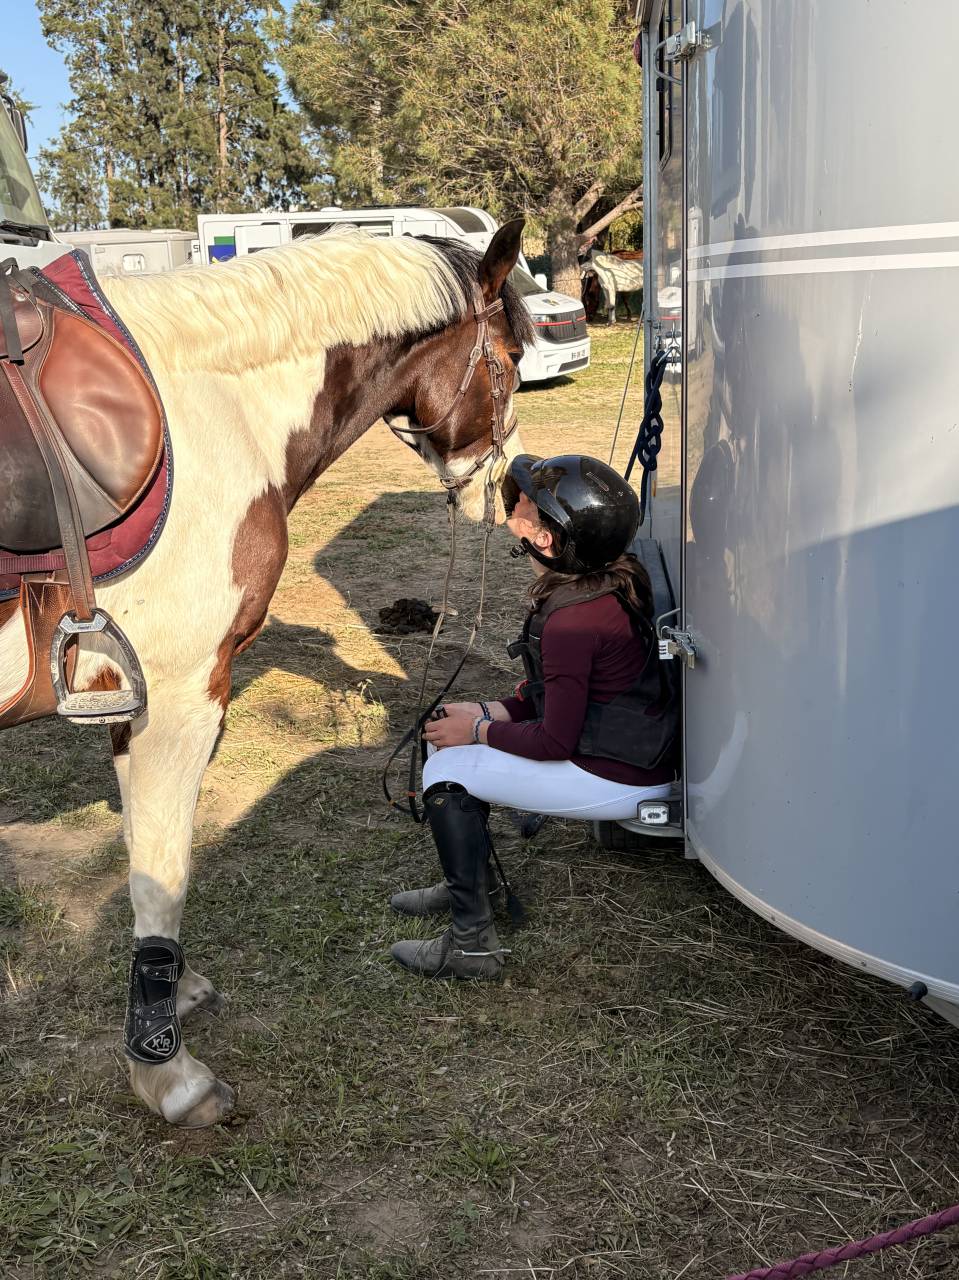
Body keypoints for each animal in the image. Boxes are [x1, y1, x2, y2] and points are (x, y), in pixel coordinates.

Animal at [0, 221, 532, 1127]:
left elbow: (143, 854)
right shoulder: (183, 695)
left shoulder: (130, 701)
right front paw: (168, 1072)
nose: (504, 482)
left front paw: (172, 996)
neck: (206, 408)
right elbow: (164, 872)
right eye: (507, 356)